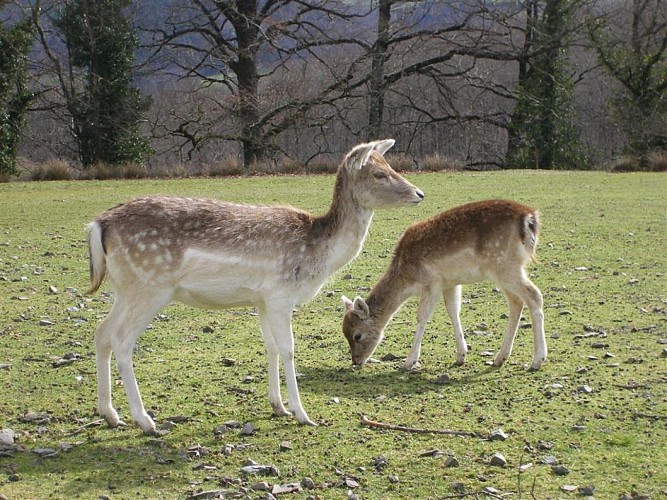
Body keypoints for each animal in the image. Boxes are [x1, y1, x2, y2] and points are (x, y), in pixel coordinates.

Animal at [88, 140, 426, 434]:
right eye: (379, 173)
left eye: (389, 165)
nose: (419, 193)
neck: (318, 254)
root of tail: (98, 224)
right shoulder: (280, 295)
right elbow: (289, 349)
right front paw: (302, 414)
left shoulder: (262, 300)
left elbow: (271, 346)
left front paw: (279, 407)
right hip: (150, 287)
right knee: (121, 341)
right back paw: (145, 421)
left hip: (125, 290)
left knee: (102, 333)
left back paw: (110, 414)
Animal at [344, 199, 548, 372]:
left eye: (357, 335)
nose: (356, 361)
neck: (406, 276)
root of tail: (529, 218)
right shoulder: (450, 283)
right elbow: (453, 311)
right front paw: (461, 355)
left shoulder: (431, 282)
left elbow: (422, 317)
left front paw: (409, 362)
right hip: (506, 269)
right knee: (516, 302)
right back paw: (500, 358)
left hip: (504, 265)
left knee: (534, 295)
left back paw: (537, 360)